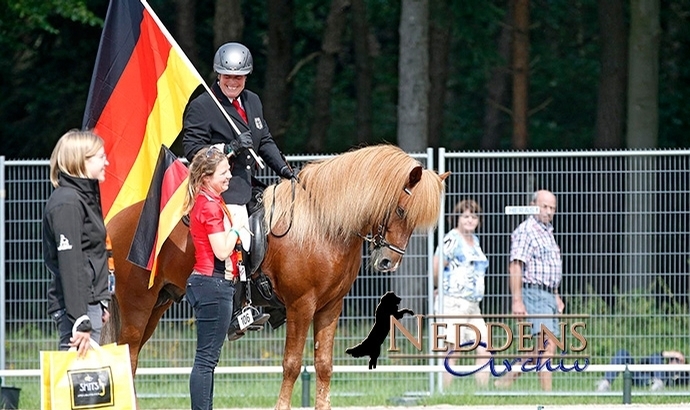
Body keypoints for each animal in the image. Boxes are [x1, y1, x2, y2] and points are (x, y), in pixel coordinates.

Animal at [102, 144, 446, 410]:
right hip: (137, 306)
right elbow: (292, 364)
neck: (321, 224)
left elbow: (324, 365)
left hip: (157, 304)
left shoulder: (330, 308)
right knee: (128, 357)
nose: (387, 262)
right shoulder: (301, 306)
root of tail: (116, 220)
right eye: (401, 211)